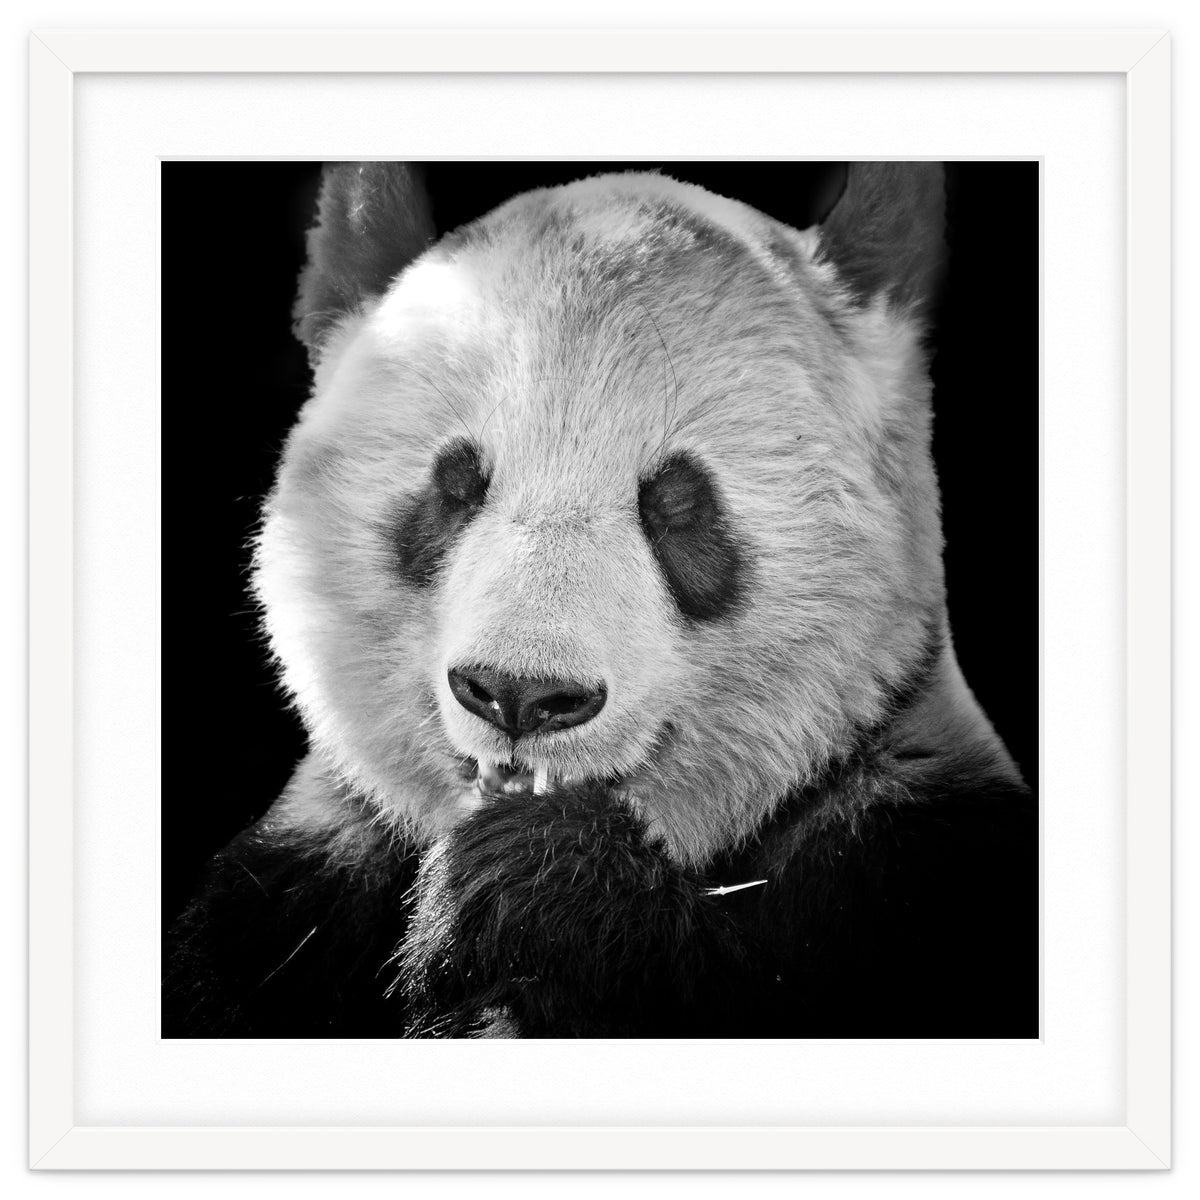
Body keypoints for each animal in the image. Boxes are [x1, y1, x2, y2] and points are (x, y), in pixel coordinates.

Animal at [164, 162, 1037, 1039]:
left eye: (677, 504)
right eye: (455, 485)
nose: (520, 694)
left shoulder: (912, 858)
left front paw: (536, 885)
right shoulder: (290, 893)